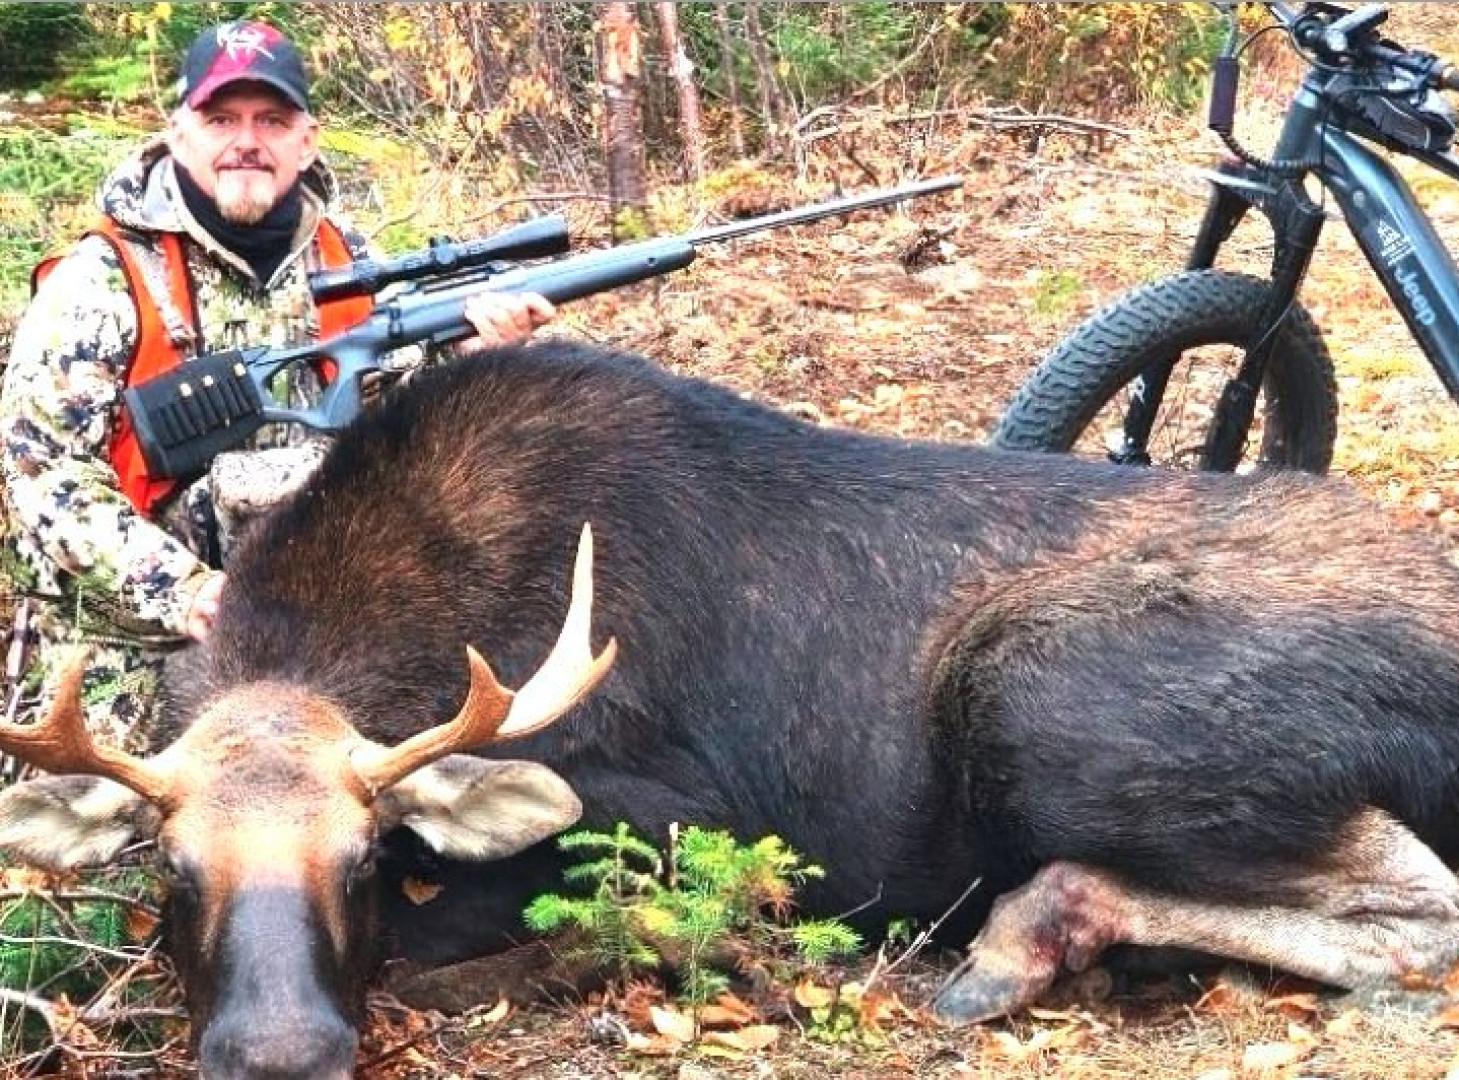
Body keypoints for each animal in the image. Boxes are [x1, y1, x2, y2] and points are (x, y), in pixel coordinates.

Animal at [0, 341, 1459, 1074]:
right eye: (172, 868)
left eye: (365, 857)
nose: (278, 1049)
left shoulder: (688, 816)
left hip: (1029, 696)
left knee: (1416, 911)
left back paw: (1028, 932)